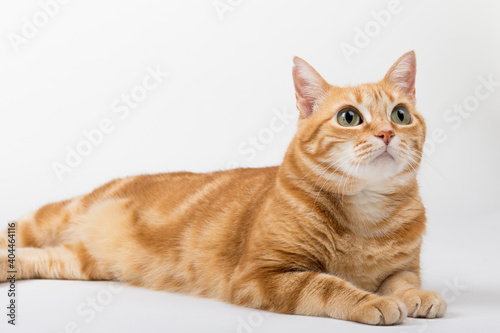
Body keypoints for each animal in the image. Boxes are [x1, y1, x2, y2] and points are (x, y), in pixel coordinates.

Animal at [0, 50, 446, 322]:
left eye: (401, 114)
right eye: (350, 117)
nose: (387, 132)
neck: (366, 217)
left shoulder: (405, 266)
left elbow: (404, 281)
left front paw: (417, 297)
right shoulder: (263, 275)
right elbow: (329, 285)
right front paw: (373, 301)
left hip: (80, 262)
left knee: (32, 258)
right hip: (55, 215)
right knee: (19, 231)